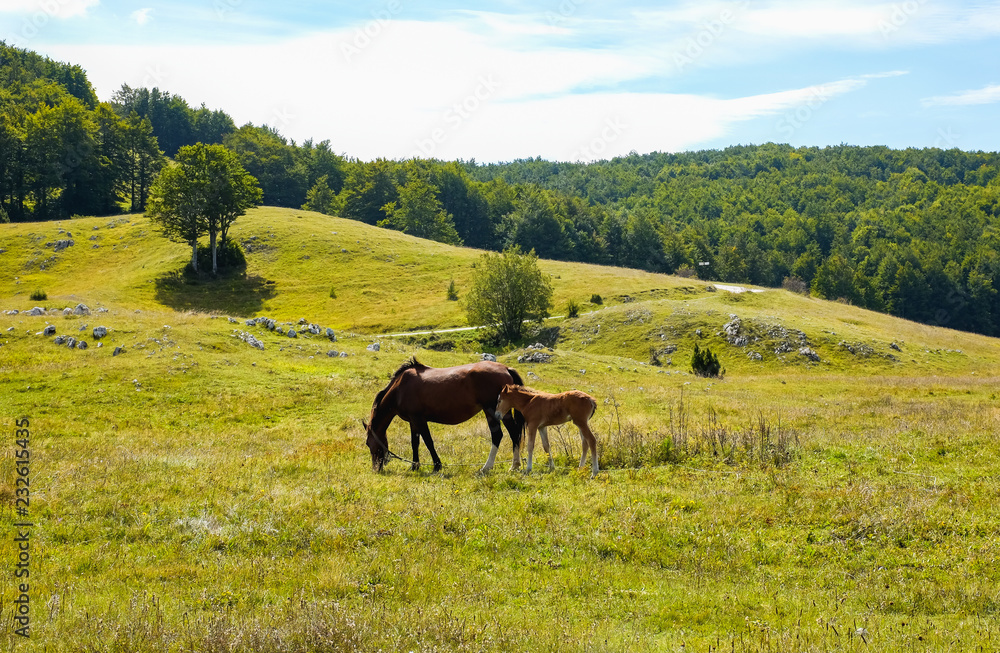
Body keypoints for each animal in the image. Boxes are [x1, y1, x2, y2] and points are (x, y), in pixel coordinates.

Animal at [366, 360, 524, 472]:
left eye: (368, 443)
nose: (376, 468)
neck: (399, 389)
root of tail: (506, 369)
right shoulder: (413, 421)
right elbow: (414, 443)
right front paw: (415, 466)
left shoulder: (419, 419)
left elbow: (428, 441)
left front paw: (437, 465)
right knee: (513, 433)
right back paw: (514, 465)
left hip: (491, 410)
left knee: (499, 435)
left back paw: (488, 467)